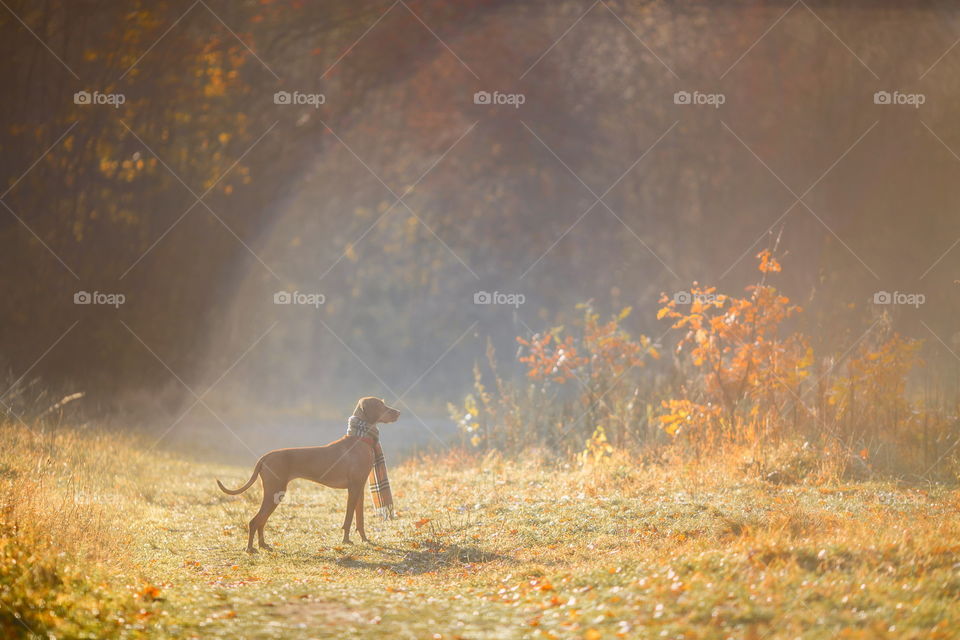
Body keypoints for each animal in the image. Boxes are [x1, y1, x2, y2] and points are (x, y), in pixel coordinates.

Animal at [216, 396, 400, 552]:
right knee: (255, 521)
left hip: (274, 494)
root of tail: (266, 456)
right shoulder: (353, 488)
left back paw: (263, 545)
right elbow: (348, 519)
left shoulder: (359, 488)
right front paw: (346, 541)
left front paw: (364, 539)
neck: (359, 439)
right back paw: (250, 549)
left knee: (261, 521)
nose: (398, 412)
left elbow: (359, 519)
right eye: (380, 405)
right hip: (274, 492)